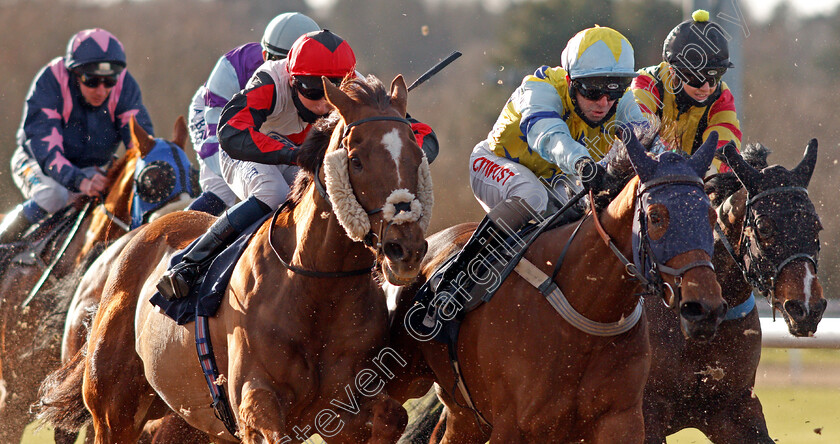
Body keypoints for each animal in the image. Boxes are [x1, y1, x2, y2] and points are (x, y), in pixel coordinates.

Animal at [37, 74, 434, 442]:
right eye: (356, 160)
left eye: (418, 156)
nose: (405, 249)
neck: (315, 287)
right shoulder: (252, 400)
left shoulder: (345, 402)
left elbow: (392, 418)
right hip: (113, 411)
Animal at [388, 128, 728, 444]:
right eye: (656, 217)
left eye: (711, 215)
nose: (705, 308)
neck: (588, 309)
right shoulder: (511, 426)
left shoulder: (622, 421)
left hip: (465, 415)